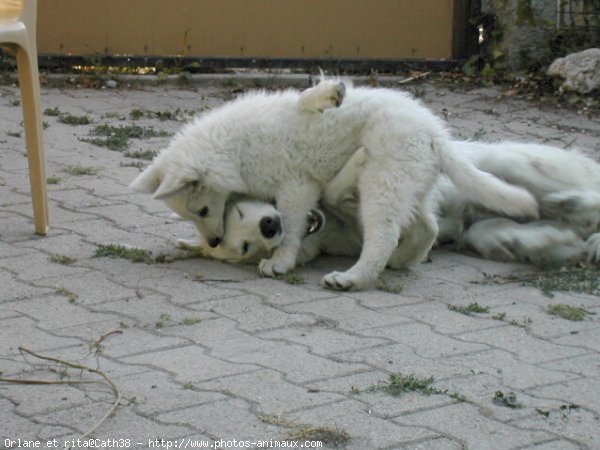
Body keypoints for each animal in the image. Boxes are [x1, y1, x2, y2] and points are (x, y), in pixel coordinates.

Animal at [130, 80, 536, 292]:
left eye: (201, 210)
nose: (213, 241)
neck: (236, 148)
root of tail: (435, 135)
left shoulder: (295, 188)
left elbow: (292, 226)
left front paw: (280, 261)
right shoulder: (300, 187)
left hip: (381, 183)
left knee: (383, 236)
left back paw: (353, 277)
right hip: (404, 182)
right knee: (427, 226)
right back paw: (402, 260)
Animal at [190, 141, 600, 268]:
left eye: (240, 212)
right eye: (247, 247)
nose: (270, 226)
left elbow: (340, 187)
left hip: (508, 164)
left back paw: (573, 202)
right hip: (484, 227)